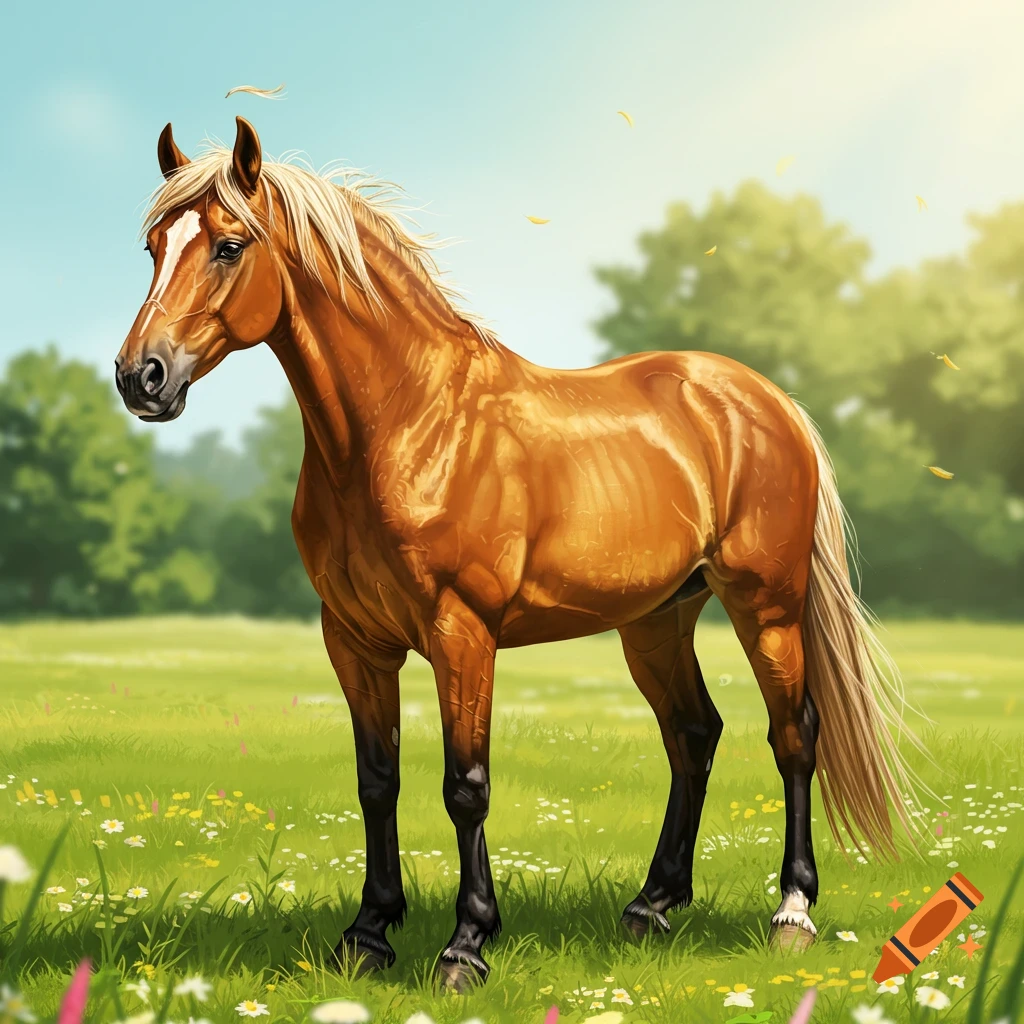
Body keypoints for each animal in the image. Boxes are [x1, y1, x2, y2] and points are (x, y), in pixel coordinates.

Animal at [116, 117, 919, 991]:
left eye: (230, 245)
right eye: (154, 245)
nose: (140, 377)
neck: (408, 423)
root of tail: (767, 401)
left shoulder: (462, 633)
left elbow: (465, 786)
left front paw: (466, 945)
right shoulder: (355, 640)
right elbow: (376, 781)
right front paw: (368, 935)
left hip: (764, 607)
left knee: (792, 736)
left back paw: (791, 912)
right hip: (657, 621)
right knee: (693, 734)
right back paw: (652, 905)